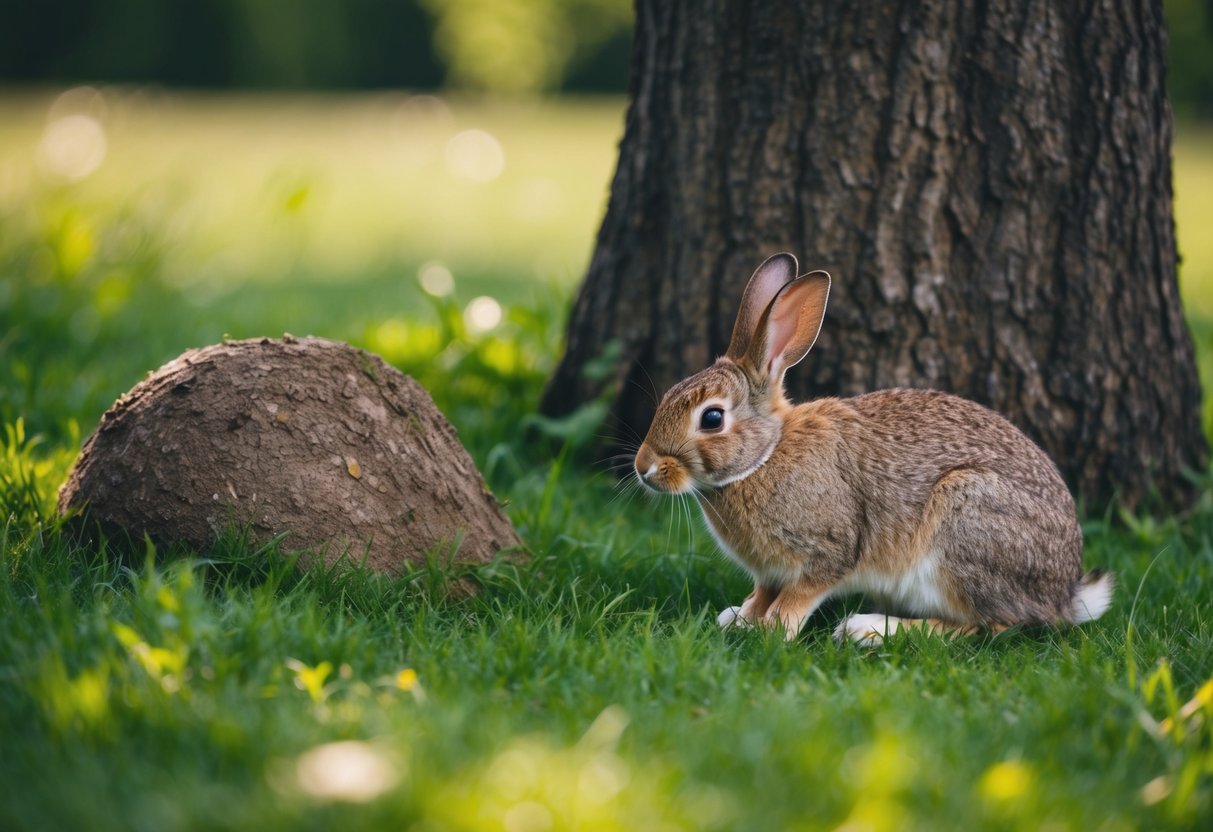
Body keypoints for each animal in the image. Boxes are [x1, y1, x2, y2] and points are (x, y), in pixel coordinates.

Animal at [633, 252, 1112, 645]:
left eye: (712, 419)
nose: (644, 468)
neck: (765, 457)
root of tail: (1064, 592)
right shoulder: (771, 571)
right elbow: (763, 592)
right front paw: (740, 618)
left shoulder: (830, 548)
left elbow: (801, 594)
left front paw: (773, 631)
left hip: (965, 524)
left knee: (993, 624)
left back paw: (869, 630)